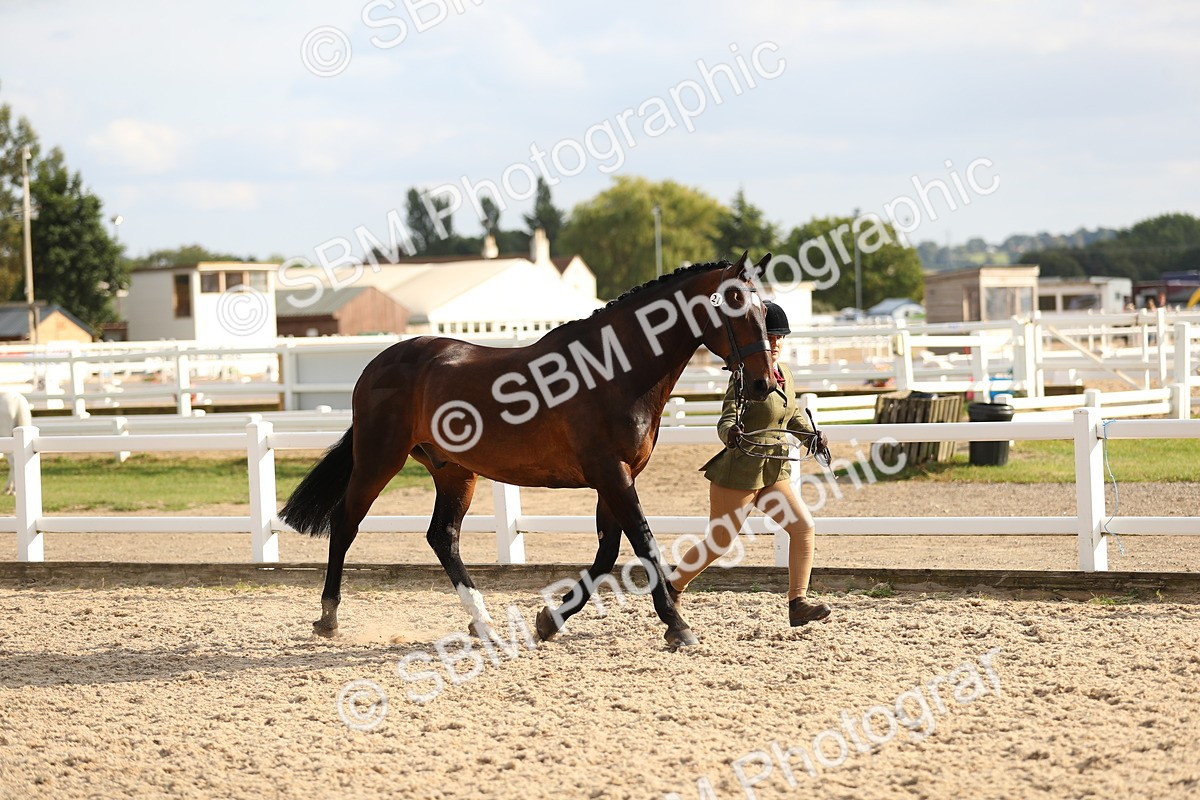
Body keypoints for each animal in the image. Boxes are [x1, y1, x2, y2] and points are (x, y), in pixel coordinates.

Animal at [280, 252, 777, 648]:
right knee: (346, 522)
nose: (763, 383)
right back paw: (328, 617)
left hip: (454, 471)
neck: (614, 371)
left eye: (763, 307)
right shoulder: (611, 474)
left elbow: (607, 553)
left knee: (443, 536)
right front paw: (677, 626)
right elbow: (642, 544)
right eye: (736, 304)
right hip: (380, 458)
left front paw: (549, 620)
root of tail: (379, 363)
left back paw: (482, 622)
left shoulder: (615, 478)